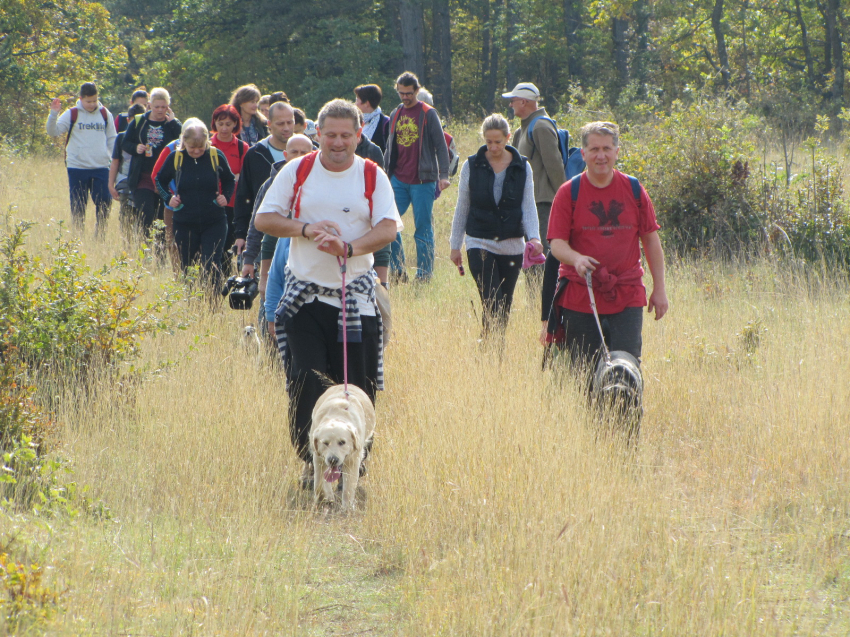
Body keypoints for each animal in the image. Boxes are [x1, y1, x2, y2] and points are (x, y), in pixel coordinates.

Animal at [308, 382, 374, 512]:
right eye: (325, 443)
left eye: (342, 442)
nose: (333, 460)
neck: (337, 415)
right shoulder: (318, 457)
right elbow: (319, 483)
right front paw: (323, 498)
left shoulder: (353, 459)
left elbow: (348, 488)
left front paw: (347, 508)